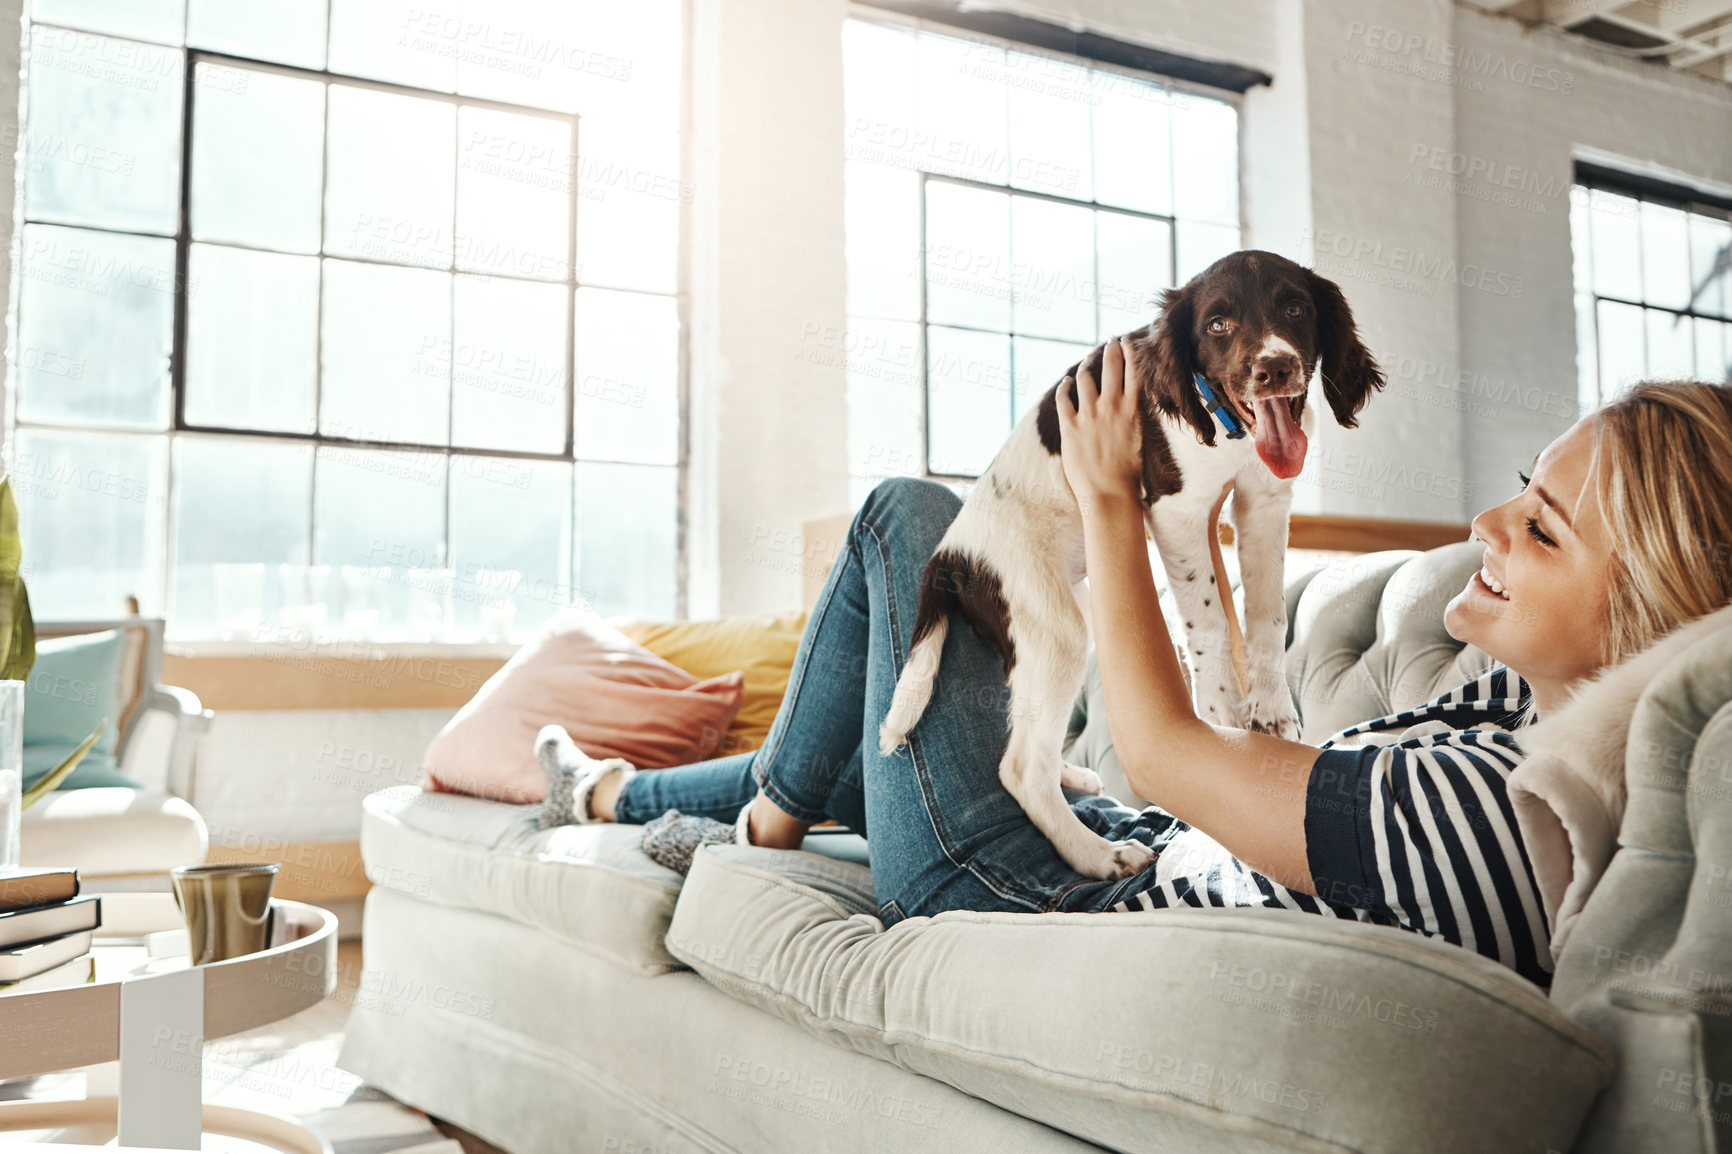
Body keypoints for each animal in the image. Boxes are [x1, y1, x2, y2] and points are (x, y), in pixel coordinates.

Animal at [879, 249, 1378, 873]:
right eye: (1217, 324)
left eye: (1296, 309)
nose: (1274, 369)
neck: (1230, 429)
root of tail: (951, 553)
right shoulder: (1175, 509)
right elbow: (1210, 624)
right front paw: (1221, 716)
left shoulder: (1265, 502)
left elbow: (1266, 617)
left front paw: (1273, 713)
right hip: (1056, 628)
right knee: (1021, 768)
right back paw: (1098, 855)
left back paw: (1074, 780)